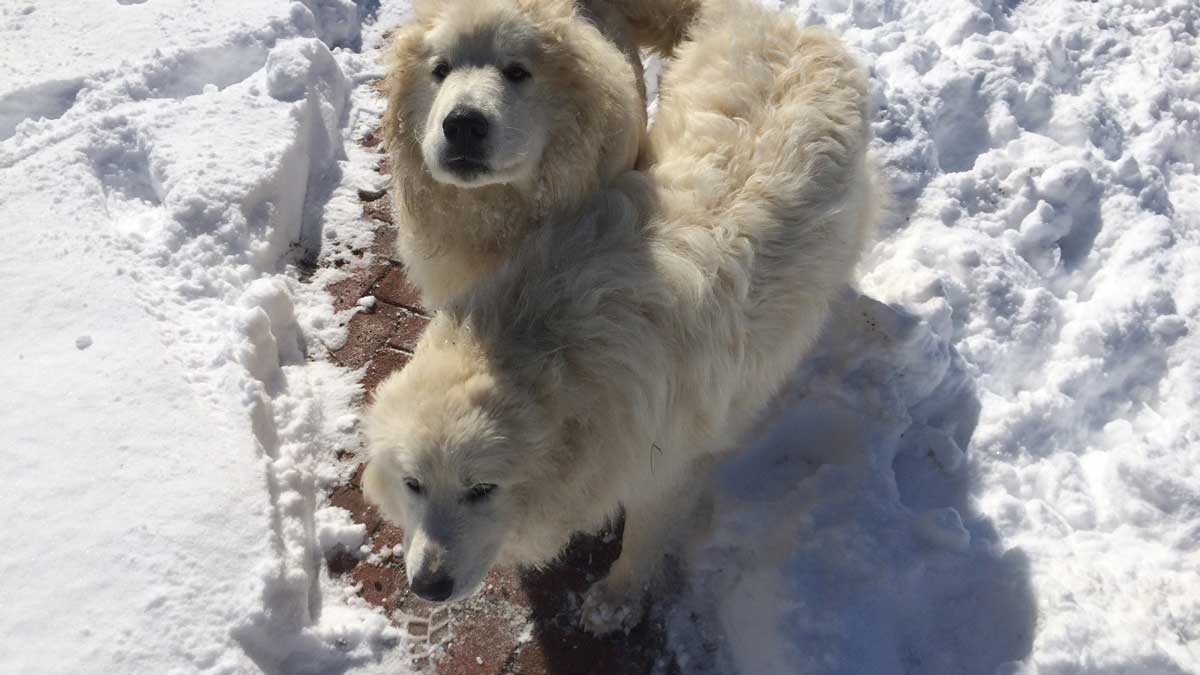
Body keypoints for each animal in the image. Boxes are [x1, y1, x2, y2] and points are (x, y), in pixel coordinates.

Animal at [360, 0, 878, 634]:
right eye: (413, 485)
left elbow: (643, 536)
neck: (559, 353)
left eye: (482, 489)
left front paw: (617, 598)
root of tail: (789, 26)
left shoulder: (666, 463)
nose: (427, 587)